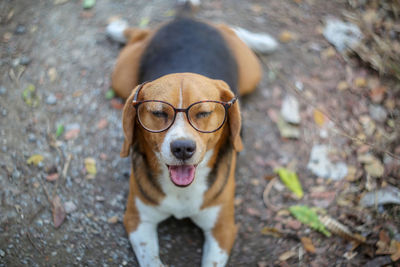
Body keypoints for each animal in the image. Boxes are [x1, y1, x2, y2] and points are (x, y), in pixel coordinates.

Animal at [106, 1, 276, 266]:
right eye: (158, 112)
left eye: (203, 112)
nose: (183, 148)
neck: (182, 191)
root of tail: (186, 21)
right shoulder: (137, 220)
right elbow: (151, 260)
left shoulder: (222, 230)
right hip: (121, 77)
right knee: (138, 34)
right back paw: (117, 28)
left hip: (251, 72)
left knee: (230, 28)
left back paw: (260, 40)